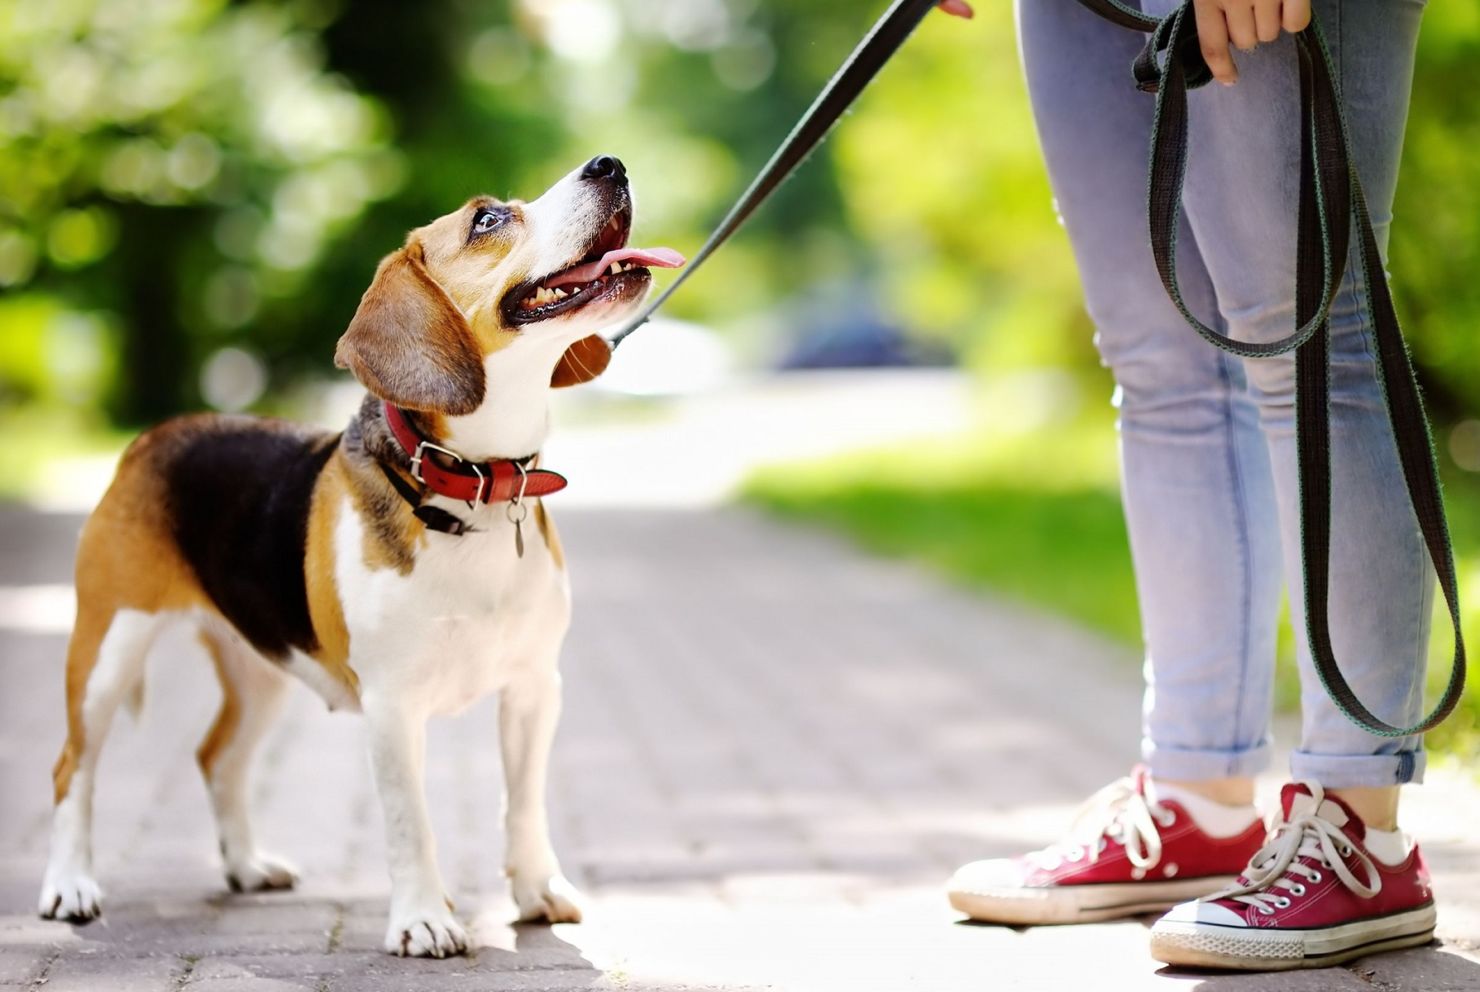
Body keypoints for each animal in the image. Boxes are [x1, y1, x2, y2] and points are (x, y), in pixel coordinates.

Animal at [36, 159, 680, 959]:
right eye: (488, 220)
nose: (609, 165)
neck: (474, 487)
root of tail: (155, 436)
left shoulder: (535, 687)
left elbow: (523, 804)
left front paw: (536, 891)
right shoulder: (393, 706)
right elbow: (412, 822)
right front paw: (425, 919)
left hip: (261, 668)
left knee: (217, 758)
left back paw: (246, 865)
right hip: (106, 650)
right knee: (72, 767)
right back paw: (70, 886)